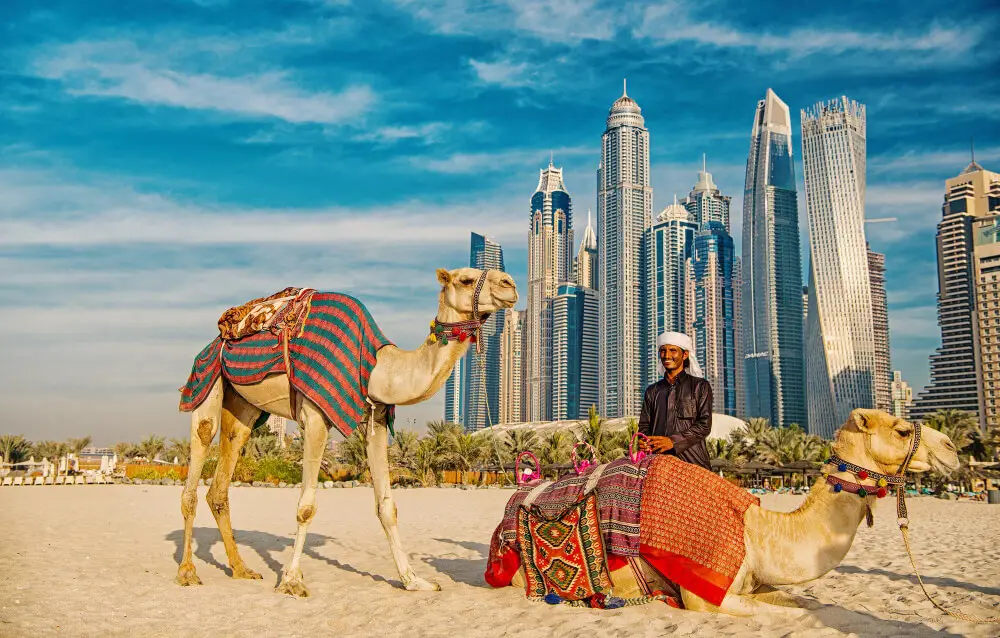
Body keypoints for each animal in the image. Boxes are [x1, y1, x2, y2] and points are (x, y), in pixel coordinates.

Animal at [176, 267, 518, 596]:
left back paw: (241, 569)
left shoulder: (375, 421)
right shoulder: (315, 415)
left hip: (244, 407)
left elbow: (387, 507)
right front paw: (292, 581)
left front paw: (414, 581)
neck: (379, 369)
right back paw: (188, 572)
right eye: (466, 279)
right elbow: (306, 507)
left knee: (222, 478)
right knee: (202, 444)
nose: (510, 284)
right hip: (207, 378)